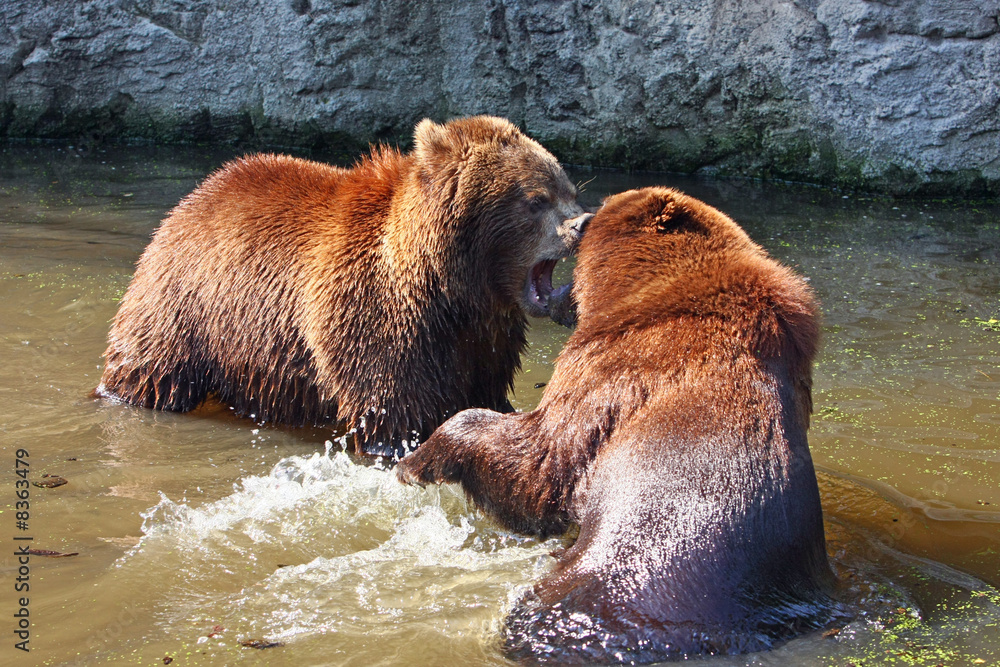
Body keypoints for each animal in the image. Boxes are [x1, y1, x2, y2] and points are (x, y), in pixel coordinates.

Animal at [96, 116, 589, 457]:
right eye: (536, 199)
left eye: (569, 189)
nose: (582, 222)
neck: (451, 289)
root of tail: (191, 198)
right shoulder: (376, 315)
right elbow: (394, 409)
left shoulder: (481, 340)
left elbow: (483, 394)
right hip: (184, 308)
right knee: (152, 372)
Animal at [397, 186, 838, 662]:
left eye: (603, 206)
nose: (580, 221)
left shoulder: (619, 365)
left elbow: (540, 463)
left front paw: (417, 460)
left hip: (614, 581)